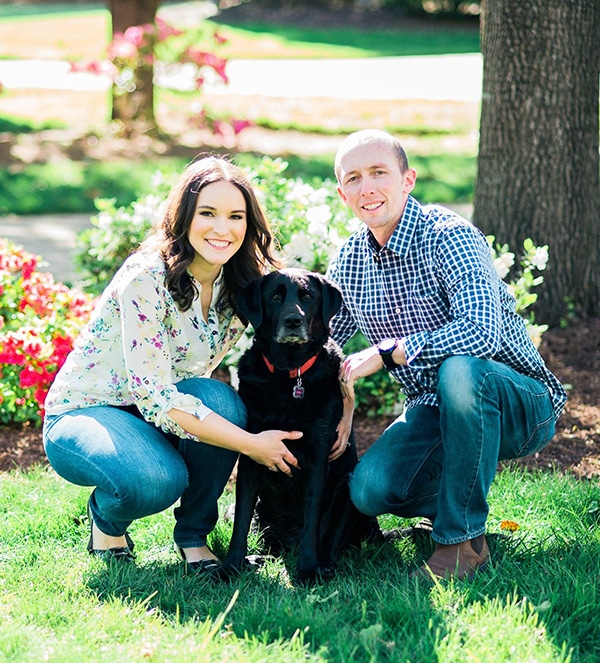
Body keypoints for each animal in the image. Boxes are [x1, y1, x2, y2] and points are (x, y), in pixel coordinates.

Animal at [223, 268, 382, 584]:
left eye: (307, 296)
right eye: (274, 297)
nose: (293, 321)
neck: (289, 375)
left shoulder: (318, 457)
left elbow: (312, 519)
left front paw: (308, 569)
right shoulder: (251, 455)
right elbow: (242, 518)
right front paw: (231, 566)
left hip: (347, 488)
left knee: (331, 540)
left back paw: (325, 565)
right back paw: (257, 559)